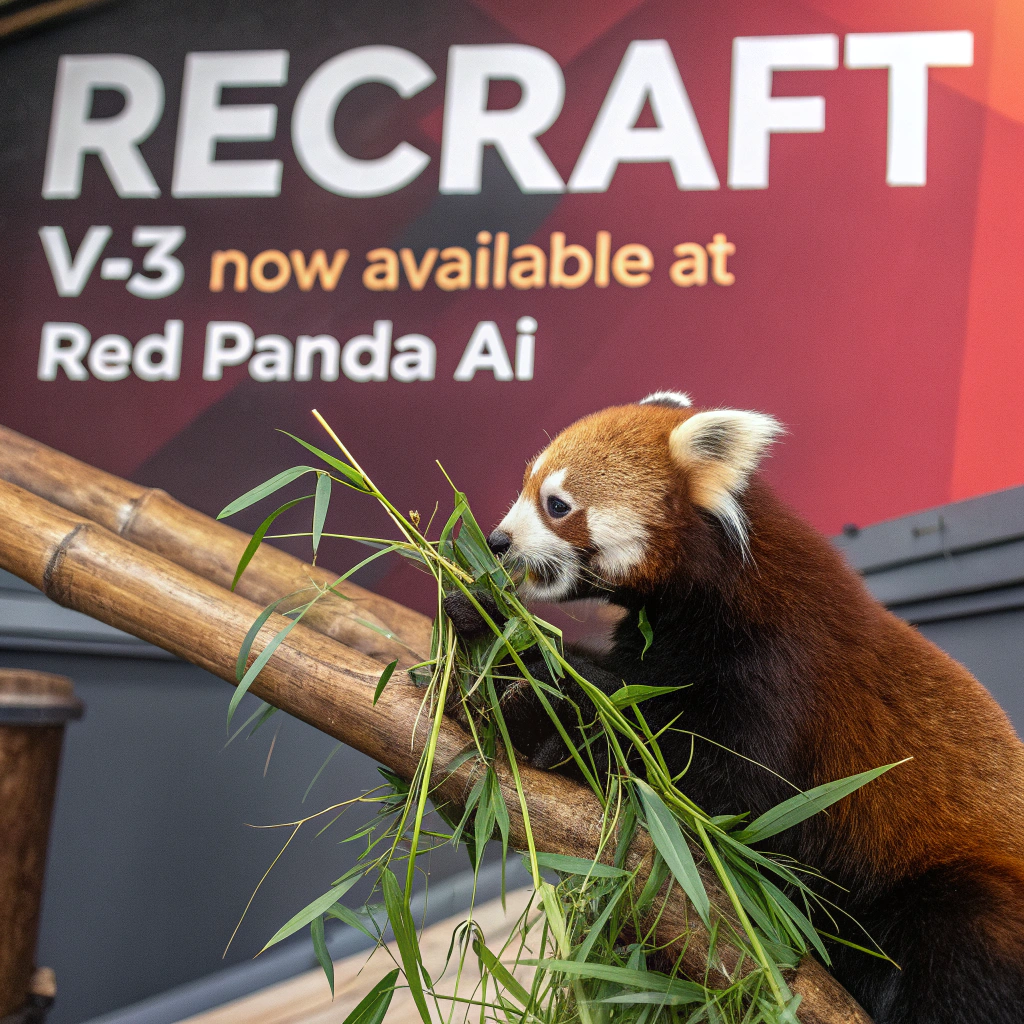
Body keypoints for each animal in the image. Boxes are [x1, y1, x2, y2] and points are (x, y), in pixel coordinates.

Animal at [445, 393, 1024, 1024]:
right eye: (524, 485)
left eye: (557, 504)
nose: (497, 540)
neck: (713, 592)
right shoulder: (657, 647)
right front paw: (487, 626)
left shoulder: (781, 669)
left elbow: (722, 785)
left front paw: (552, 702)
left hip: (959, 894)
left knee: (960, 957)